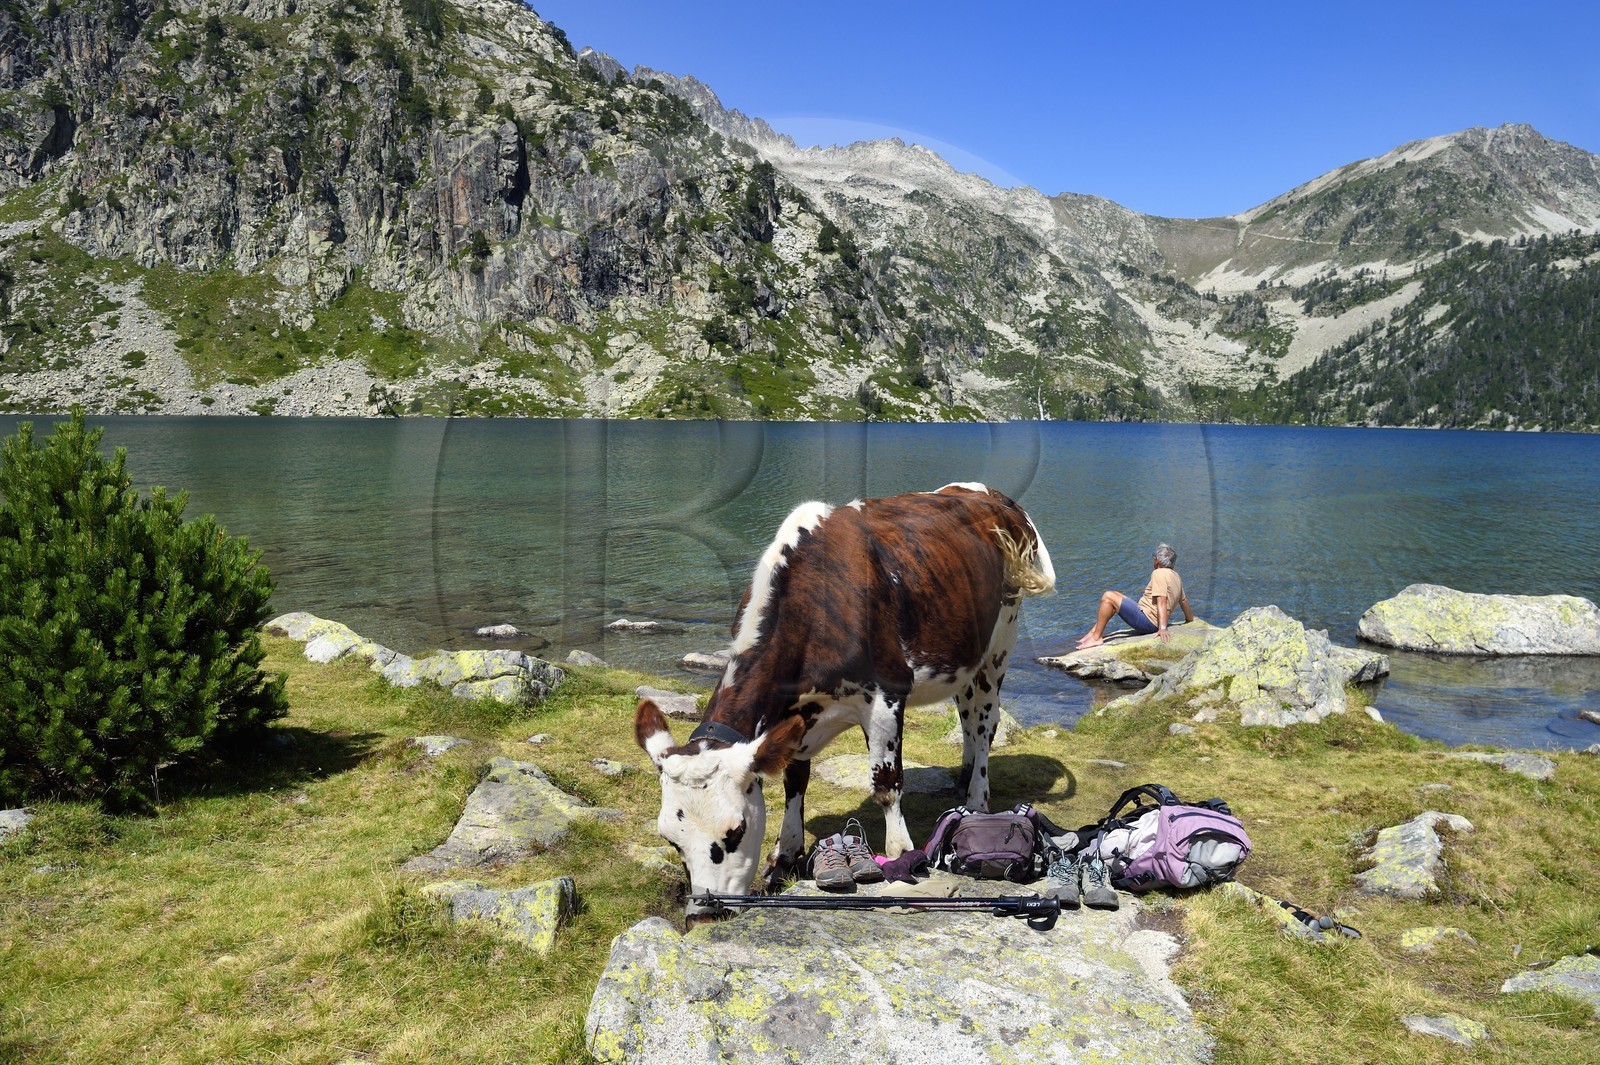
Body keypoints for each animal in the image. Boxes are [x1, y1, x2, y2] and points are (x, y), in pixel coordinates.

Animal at [634, 483, 1055, 918]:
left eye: (736, 831)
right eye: (671, 839)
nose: (705, 911)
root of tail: (992, 496)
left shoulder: (887, 693)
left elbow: (887, 784)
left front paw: (900, 855)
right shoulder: (794, 714)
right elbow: (795, 781)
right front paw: (785, 857)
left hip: (1000, 644)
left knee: (984, 722)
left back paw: (977, 797)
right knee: (966, 714)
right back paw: (964, 775)